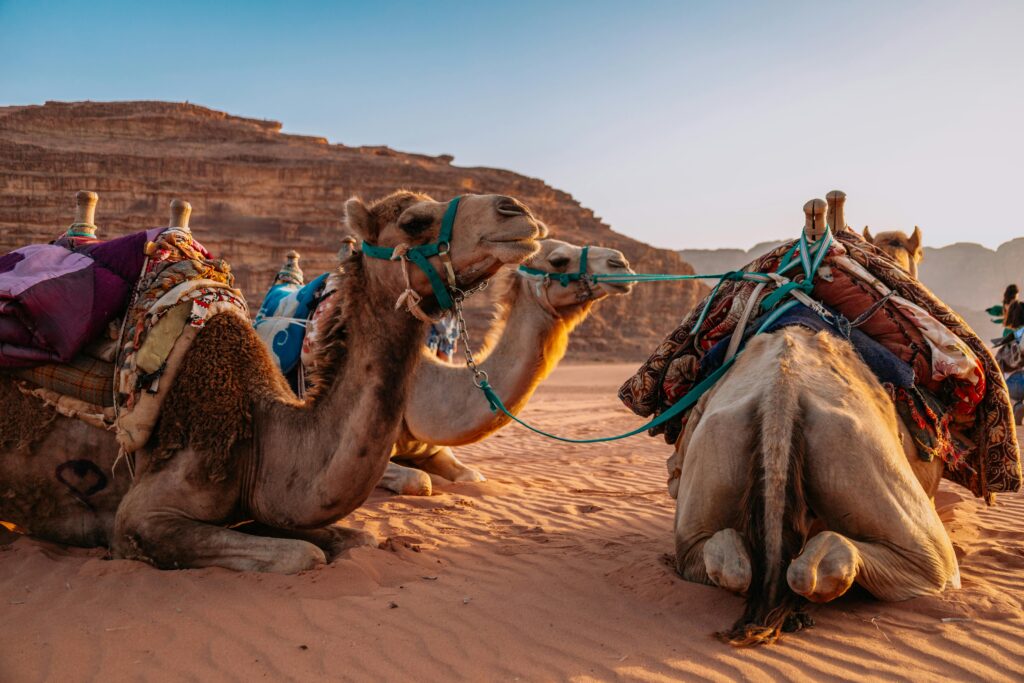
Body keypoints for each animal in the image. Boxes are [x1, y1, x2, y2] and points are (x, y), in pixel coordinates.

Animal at [0, 192, 548, 573]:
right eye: (414, 221)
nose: (517, 210)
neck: (261, 437)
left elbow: (356, 539)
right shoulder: (141, 516)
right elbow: (303, 555)